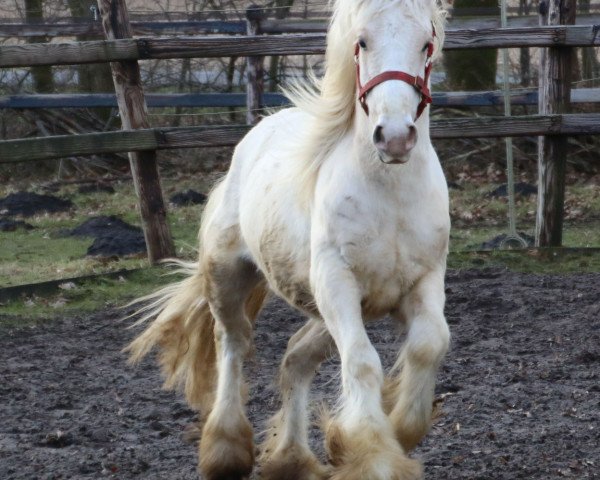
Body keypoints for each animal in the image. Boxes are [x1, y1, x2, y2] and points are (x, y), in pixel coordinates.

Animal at [131, 0, 450, 480]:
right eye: (361, 41)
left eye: (426, 43)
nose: (394, 136)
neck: (390, 193)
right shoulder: (337, 282)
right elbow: (361, 362)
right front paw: (372, 454)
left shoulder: (423, 281)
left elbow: (429, 345)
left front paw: (389, 433)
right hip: (230, 276)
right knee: (233, 343)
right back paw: (226, 450)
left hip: (329, 308)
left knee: (295, 358)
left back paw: (291, 459)